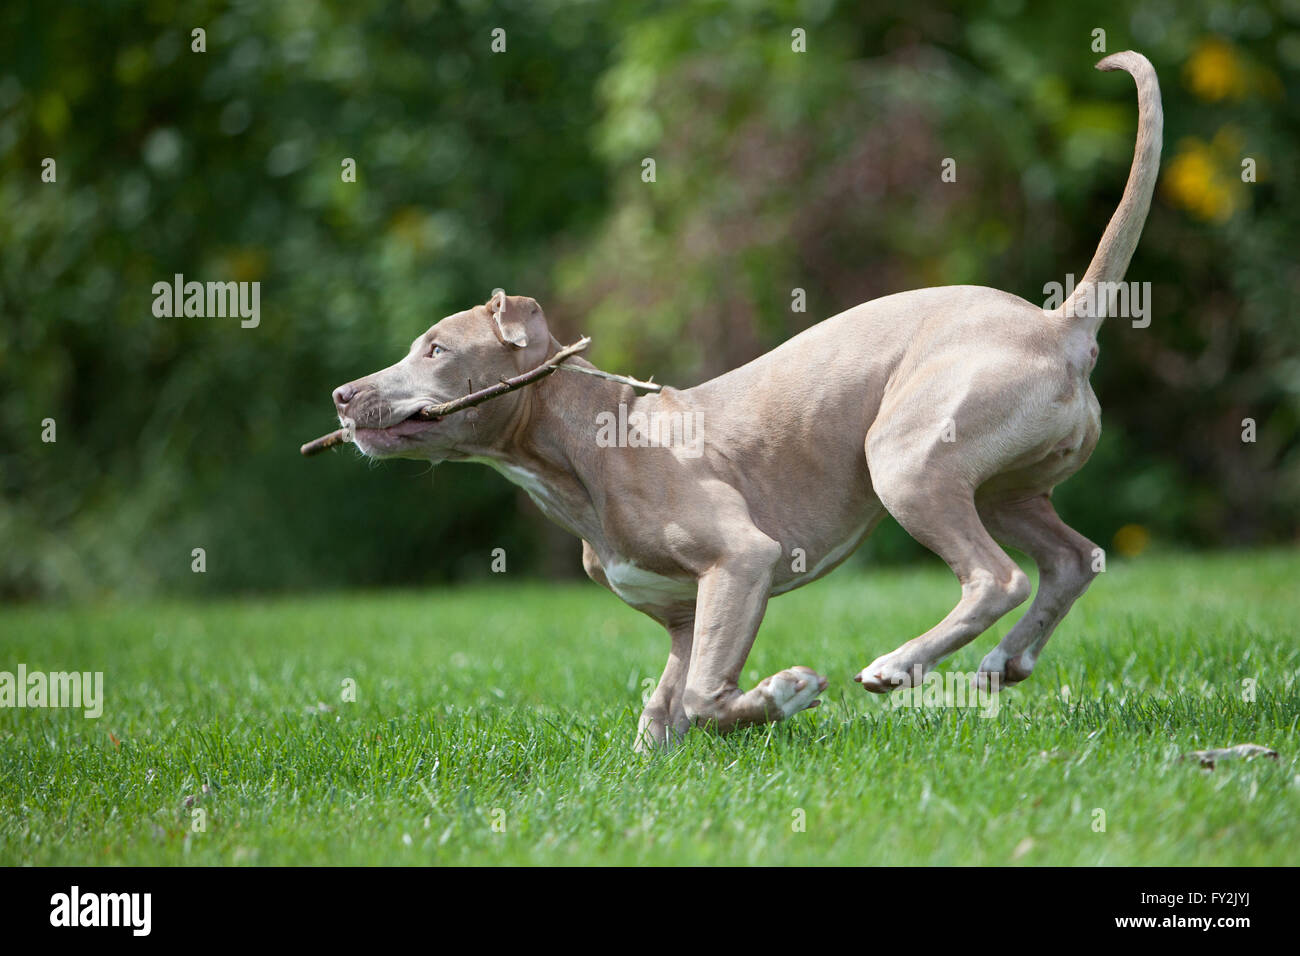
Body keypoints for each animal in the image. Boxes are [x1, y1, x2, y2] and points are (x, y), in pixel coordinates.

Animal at [330, 52, 1164, 749]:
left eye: (436, 350)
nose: (342, 395)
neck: (584, 445)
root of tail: (1059, 325)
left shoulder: (739, 559)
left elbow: (704, 698)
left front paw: (784, 693)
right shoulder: (684, 614)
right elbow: (665, 706)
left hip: (908, 460)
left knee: (998, 577)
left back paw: (900, 664)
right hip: (999, 484)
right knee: (1072, 559)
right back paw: (1004, 662)